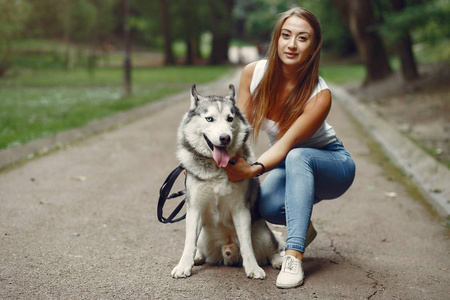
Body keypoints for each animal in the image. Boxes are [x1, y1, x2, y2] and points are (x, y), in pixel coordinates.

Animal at [171, 84, 284, 278]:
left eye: (230, 119)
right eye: (209, 119)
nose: (225, 138)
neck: (218, 168)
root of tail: (227, 249)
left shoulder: (240, 209)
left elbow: (246, 244)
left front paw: (253, 268)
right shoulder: (194, 209)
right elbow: (189, 242)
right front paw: (184, 265)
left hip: (263, 234)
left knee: (273, 249)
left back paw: (279, 261)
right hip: (204, 237)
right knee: (199, 248)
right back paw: (198, 257)